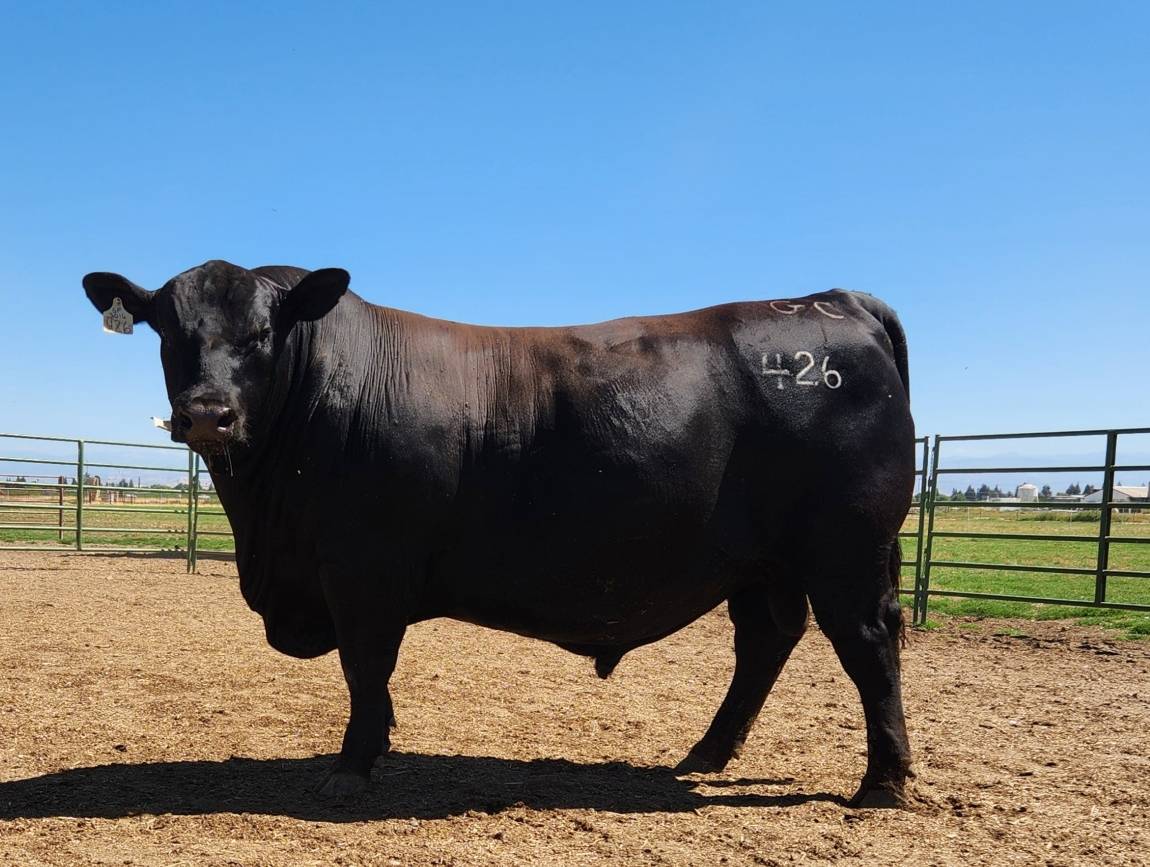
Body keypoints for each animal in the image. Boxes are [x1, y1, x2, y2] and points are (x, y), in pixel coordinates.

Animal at [83, 260, 915, 807]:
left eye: (261, 333)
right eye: (169, 333)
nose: (207, 413)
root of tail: (833, 301)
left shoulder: (361, 572)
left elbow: (364, 667)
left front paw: (353, 763)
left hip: (845, 550)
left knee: (866, 643)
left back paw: (883, 781)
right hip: (762, 563)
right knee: (766, 639)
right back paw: (706, 752)